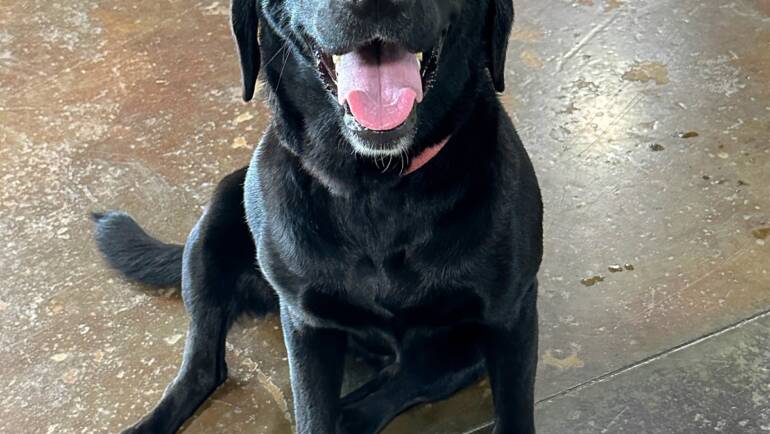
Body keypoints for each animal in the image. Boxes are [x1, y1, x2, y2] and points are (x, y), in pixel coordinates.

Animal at [93, 0, 540, 432]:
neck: (376, 184)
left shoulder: (511, 316)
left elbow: (513, 412)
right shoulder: (306, 325)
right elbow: (312, 412)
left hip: (463, 350)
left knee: (406, 376)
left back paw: (354, 413)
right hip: (210, 233)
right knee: (203, 369)